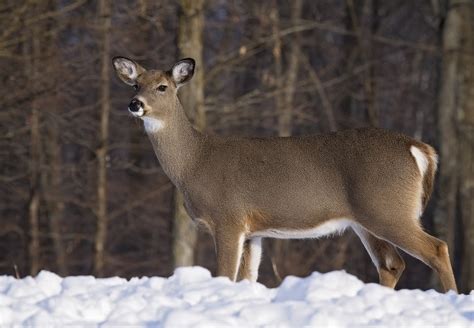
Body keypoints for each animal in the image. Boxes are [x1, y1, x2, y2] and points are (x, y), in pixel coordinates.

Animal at [113, 55, 458, 292]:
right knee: (392, 264)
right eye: (136, 84)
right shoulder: (254, 232)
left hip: (387, 209)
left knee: (436, 248)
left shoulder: (228, 218)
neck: (194, 163)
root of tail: (419, 148)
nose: (134, 104)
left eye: (163, 87)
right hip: (367, 219)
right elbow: (247, 278)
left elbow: (225, 274)